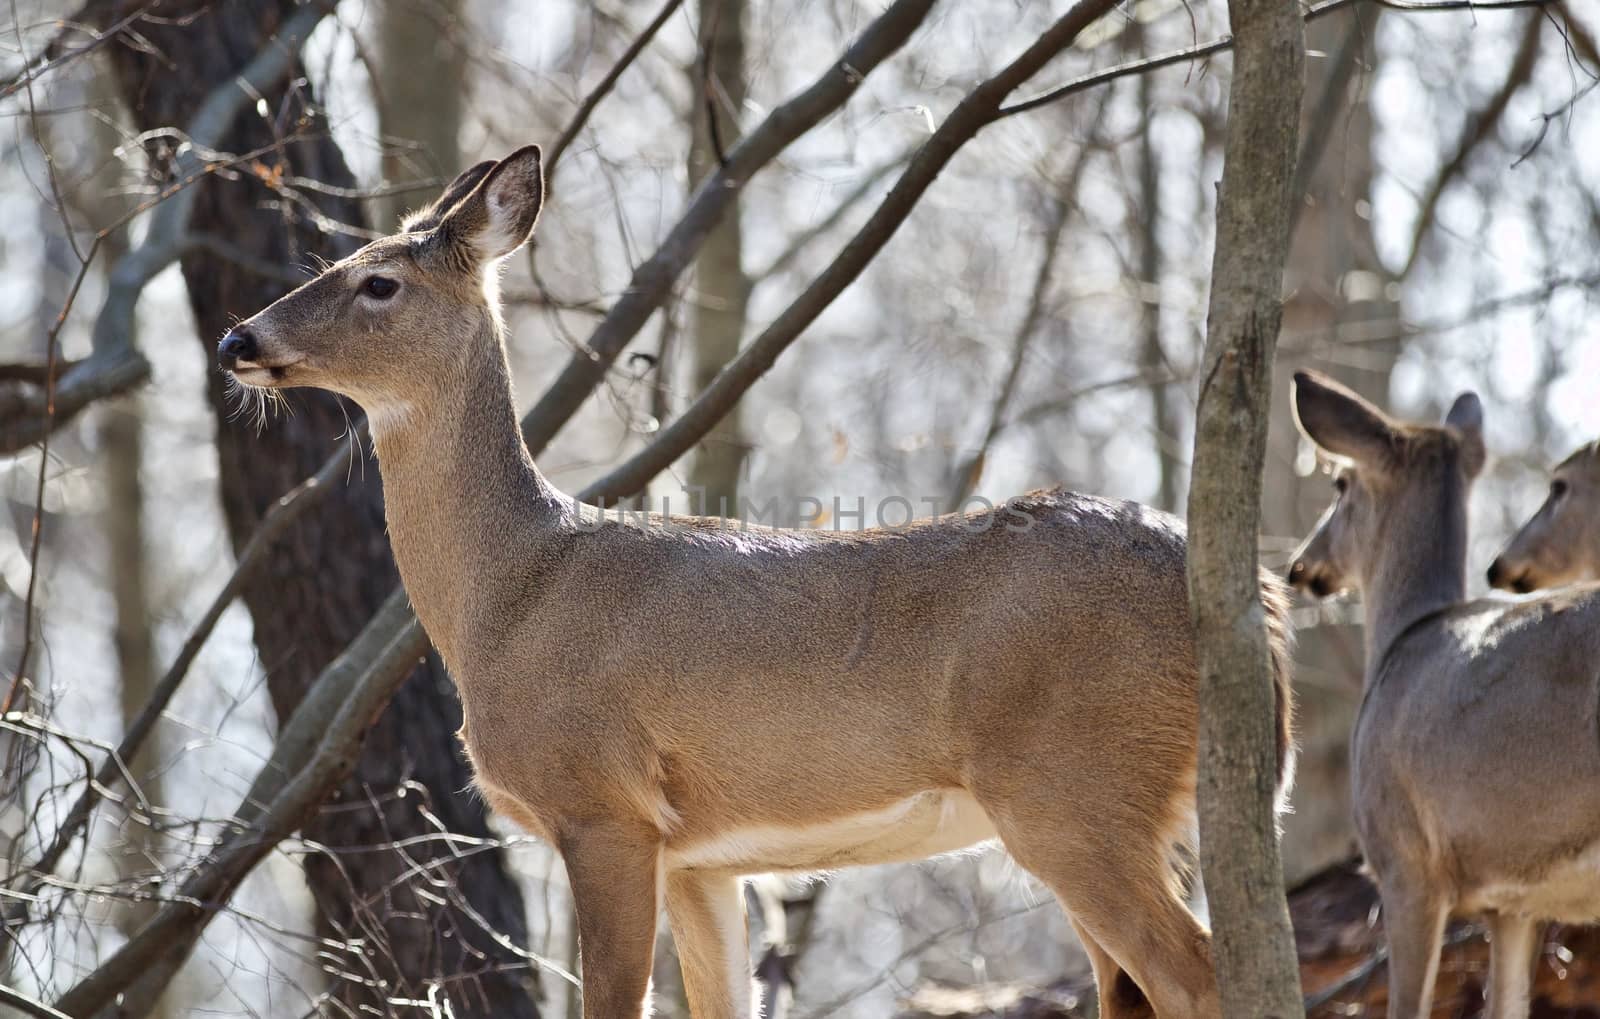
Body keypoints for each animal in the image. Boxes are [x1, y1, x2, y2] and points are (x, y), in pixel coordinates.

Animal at [219, 144, 1299, 1017]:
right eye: (328, 265)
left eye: (379, 282)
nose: (239, 340)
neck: (511, 591)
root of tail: (1250, 592)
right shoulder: (701, 854)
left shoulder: (601, 802)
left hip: (1075, 789)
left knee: (1200, 976)